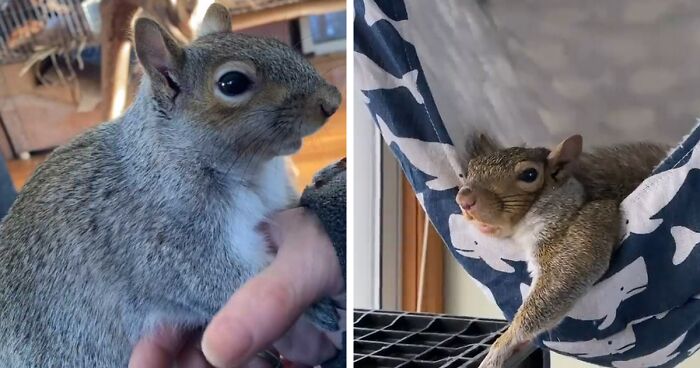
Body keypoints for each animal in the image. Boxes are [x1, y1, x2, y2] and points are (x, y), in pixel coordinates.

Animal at [0, 4, 342, 366]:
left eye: (277, 45)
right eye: (232, 82)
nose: (332, 100)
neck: (254, 171)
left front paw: (325, 180)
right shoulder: (166, 242)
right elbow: (214, 280)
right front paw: (313, 307)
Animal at [456, 134, 668, 368]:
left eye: (529, 174)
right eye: (470, 169)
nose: (464, 199)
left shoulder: (585, 229)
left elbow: (562, 281)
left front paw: (500, 347)